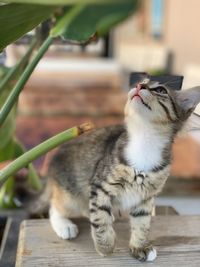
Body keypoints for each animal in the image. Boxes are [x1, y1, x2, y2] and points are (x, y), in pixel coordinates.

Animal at [43, 78, 200, 262]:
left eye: (161, 90)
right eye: (142, 82)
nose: (139, 86)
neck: (144, 141)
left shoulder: (145, 197)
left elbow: (142, 223)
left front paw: (140, 246)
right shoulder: (100, 186)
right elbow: (100, 220)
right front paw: (105, 246)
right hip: (71, 195)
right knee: (55, 206)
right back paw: (64, 225)